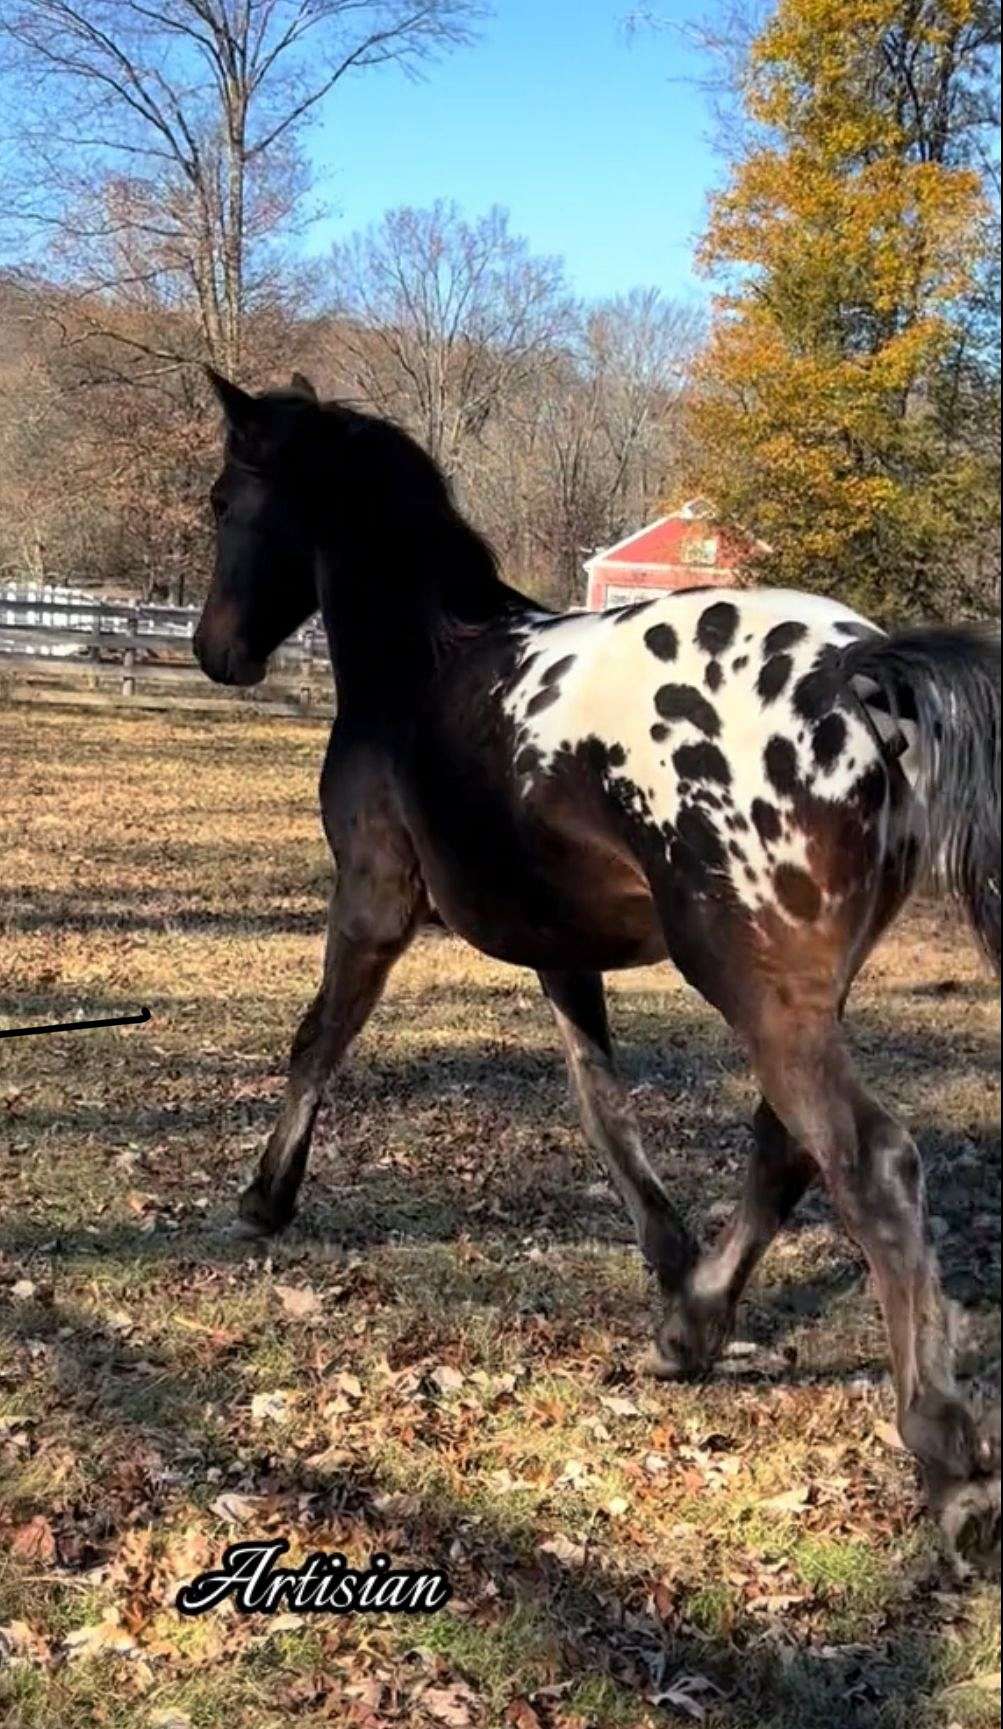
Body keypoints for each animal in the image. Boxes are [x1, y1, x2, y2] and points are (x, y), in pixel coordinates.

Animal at [191, 371, 996, 1576]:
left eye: (220, 502)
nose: (216, 651)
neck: (420, 661)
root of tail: (856, 672)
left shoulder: (371, 903)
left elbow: (317, 1038)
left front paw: (262, 1198)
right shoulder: (559, 949)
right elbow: (600, 1099)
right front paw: (666, 1259)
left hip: (749, 980)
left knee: (868, 1160)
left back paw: (946, 1465)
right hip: (803, 989)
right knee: (787, 1149)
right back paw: (689, 1326)